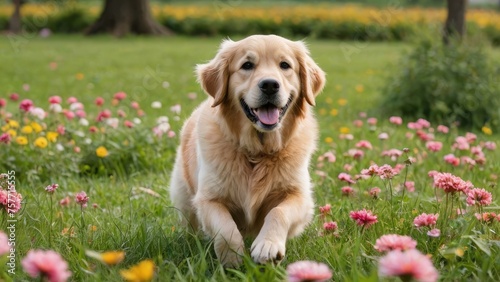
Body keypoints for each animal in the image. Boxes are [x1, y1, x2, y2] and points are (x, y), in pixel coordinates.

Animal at [170, 34, 326, 268]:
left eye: (285, 65)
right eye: (247, 65)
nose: (270, 85)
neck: (256, 152)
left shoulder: (299, 196)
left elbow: (278, 212)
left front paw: (268, 245)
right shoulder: (207, 199)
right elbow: (226, 228)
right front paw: (232, 258)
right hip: (184, 198)